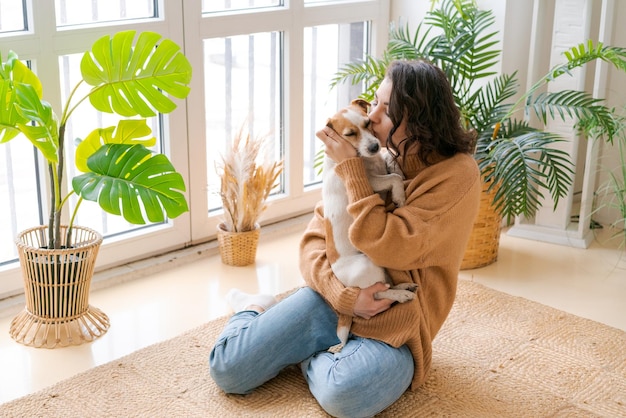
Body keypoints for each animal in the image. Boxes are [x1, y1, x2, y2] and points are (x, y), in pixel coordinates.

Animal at [320, 99, 416, 352]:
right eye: (350, 134)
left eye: (367, 123)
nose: (374, 146)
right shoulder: (371, 182)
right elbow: (393, 177)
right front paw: (400, 195)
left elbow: (391, 163)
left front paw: (393, 160)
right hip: (369, 266)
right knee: (378, 295)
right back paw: (402, 296)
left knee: (386, 287)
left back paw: (405, 287)